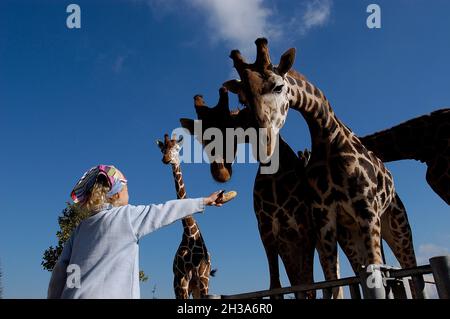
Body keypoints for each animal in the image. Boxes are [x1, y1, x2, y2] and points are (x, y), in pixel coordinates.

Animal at [156, 134, 216, 298]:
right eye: (162, 149)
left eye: (177, 148)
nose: (166, 159)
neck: (189, 233)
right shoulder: (181, 280)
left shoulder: (203, 278)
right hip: (184, 286)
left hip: (198, 285)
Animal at [179, 87, 316, 300]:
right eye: (201, 137)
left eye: (230, 127)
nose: (221, 173)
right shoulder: (265, 229)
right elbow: (275, 288)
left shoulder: (305, 225)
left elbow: (310, 287)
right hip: (287, 250)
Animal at [223, 38, 424, 298]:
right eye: (242, 99)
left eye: (278, 87)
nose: (264, 142)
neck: (328, 139)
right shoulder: (325, 219)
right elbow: (333, 283)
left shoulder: (366, 211)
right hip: (351, 234)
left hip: (396, 223)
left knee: (414, 275)